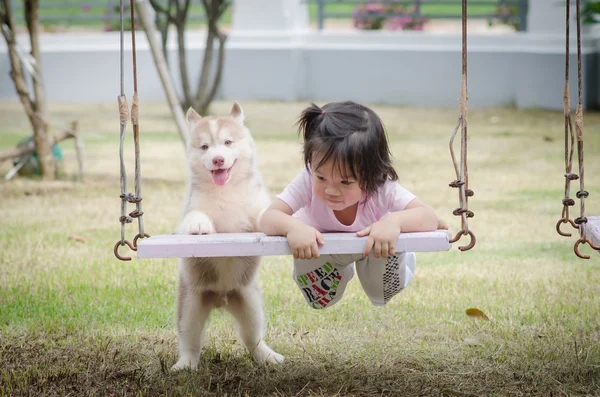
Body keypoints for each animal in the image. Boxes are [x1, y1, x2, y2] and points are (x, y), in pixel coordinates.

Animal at [172, 101, 284, 368]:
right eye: (204, 146)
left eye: (228, 142)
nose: (218, 159)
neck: (226, 190)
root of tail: (220, 299)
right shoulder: (191, 208)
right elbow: (196, 216)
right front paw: (199, 225)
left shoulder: (255, 210)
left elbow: (264, 214)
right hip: (190, 304)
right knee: (189, 340)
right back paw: (186, 363)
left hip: (250, 303)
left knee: (252, 336)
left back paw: (267, 356)